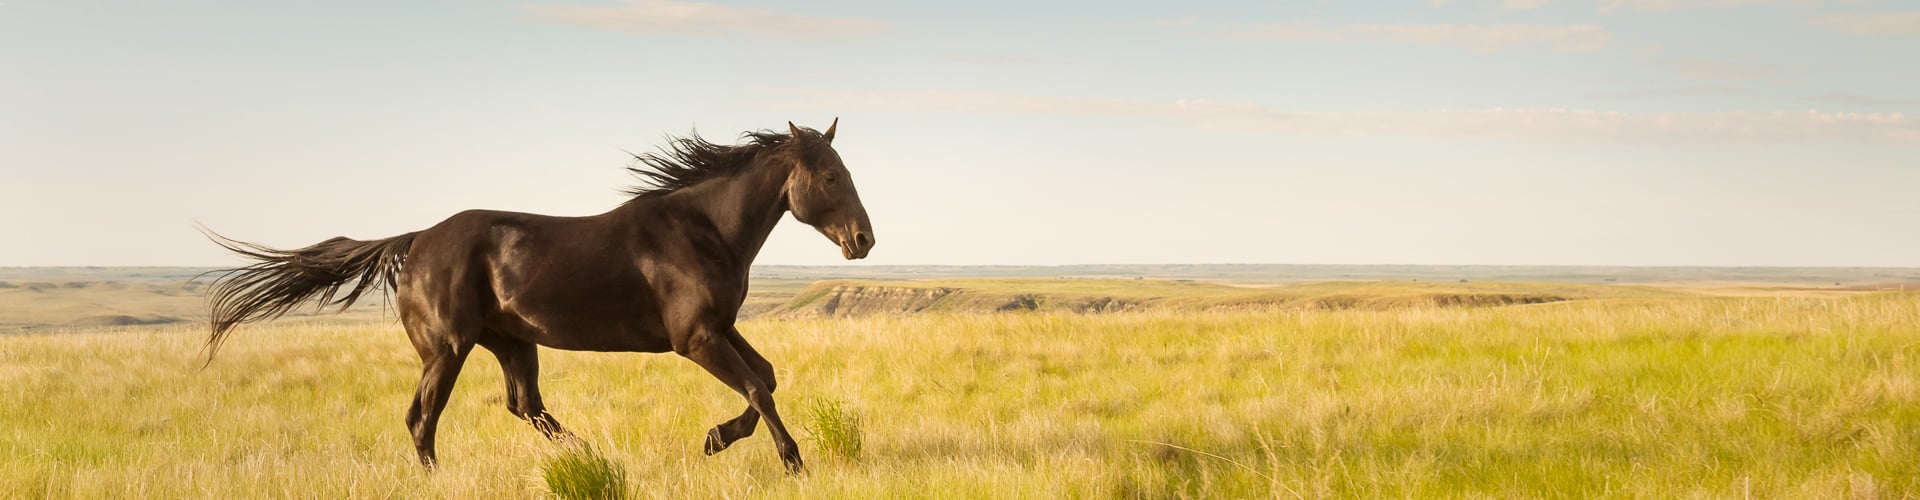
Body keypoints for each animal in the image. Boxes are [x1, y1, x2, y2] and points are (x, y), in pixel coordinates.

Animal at [198, 120, 875, 473]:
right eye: (830, 175)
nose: (863, 240)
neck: (700, 230)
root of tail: (415, 240)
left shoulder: (721, 326)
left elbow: (768, 377)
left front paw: (715, 437)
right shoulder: (696, 337)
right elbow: (759, 387)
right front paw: (792, 459)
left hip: (510, 342)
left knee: (525, 406)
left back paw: (592, 455)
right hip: (447, 349)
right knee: (424, 417)